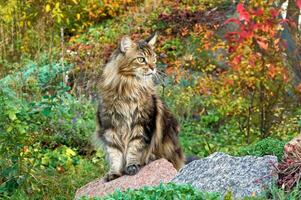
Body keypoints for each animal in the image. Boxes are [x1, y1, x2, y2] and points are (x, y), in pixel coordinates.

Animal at [94, 33, 184, 181]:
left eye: (153, 58)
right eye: (141, 59)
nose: (153, 67)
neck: (128, 88)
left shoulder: (141, 124)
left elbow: (134, 148)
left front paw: (131, 167)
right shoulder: (110, 126)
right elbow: (115, 154)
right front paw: (114, 173)